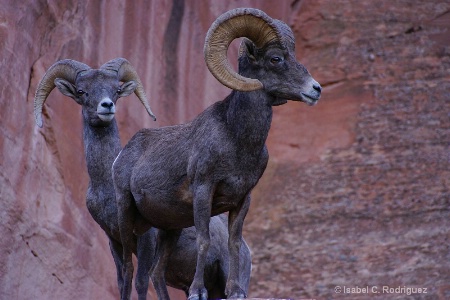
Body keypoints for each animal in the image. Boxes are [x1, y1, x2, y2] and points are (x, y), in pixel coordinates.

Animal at [34, 58, 253, 298]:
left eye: (116, 89)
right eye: (82, 91)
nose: (106, 106)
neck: (108, 187)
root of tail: (247, 250)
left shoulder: (145, 237)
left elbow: (140, 281)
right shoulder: (114, 240)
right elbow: (123, 281)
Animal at [113, 6, 320, 300]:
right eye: (275, 58)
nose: (316, 89)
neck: (237, 141)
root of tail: (123, 155)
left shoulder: (242, 200)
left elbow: (234, 243)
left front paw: (235, 291)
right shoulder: (203, 191)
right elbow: (204, 240)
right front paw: (197, 291)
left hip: (169, 229)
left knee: (156, 272)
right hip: (126, 213)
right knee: (129, 271)